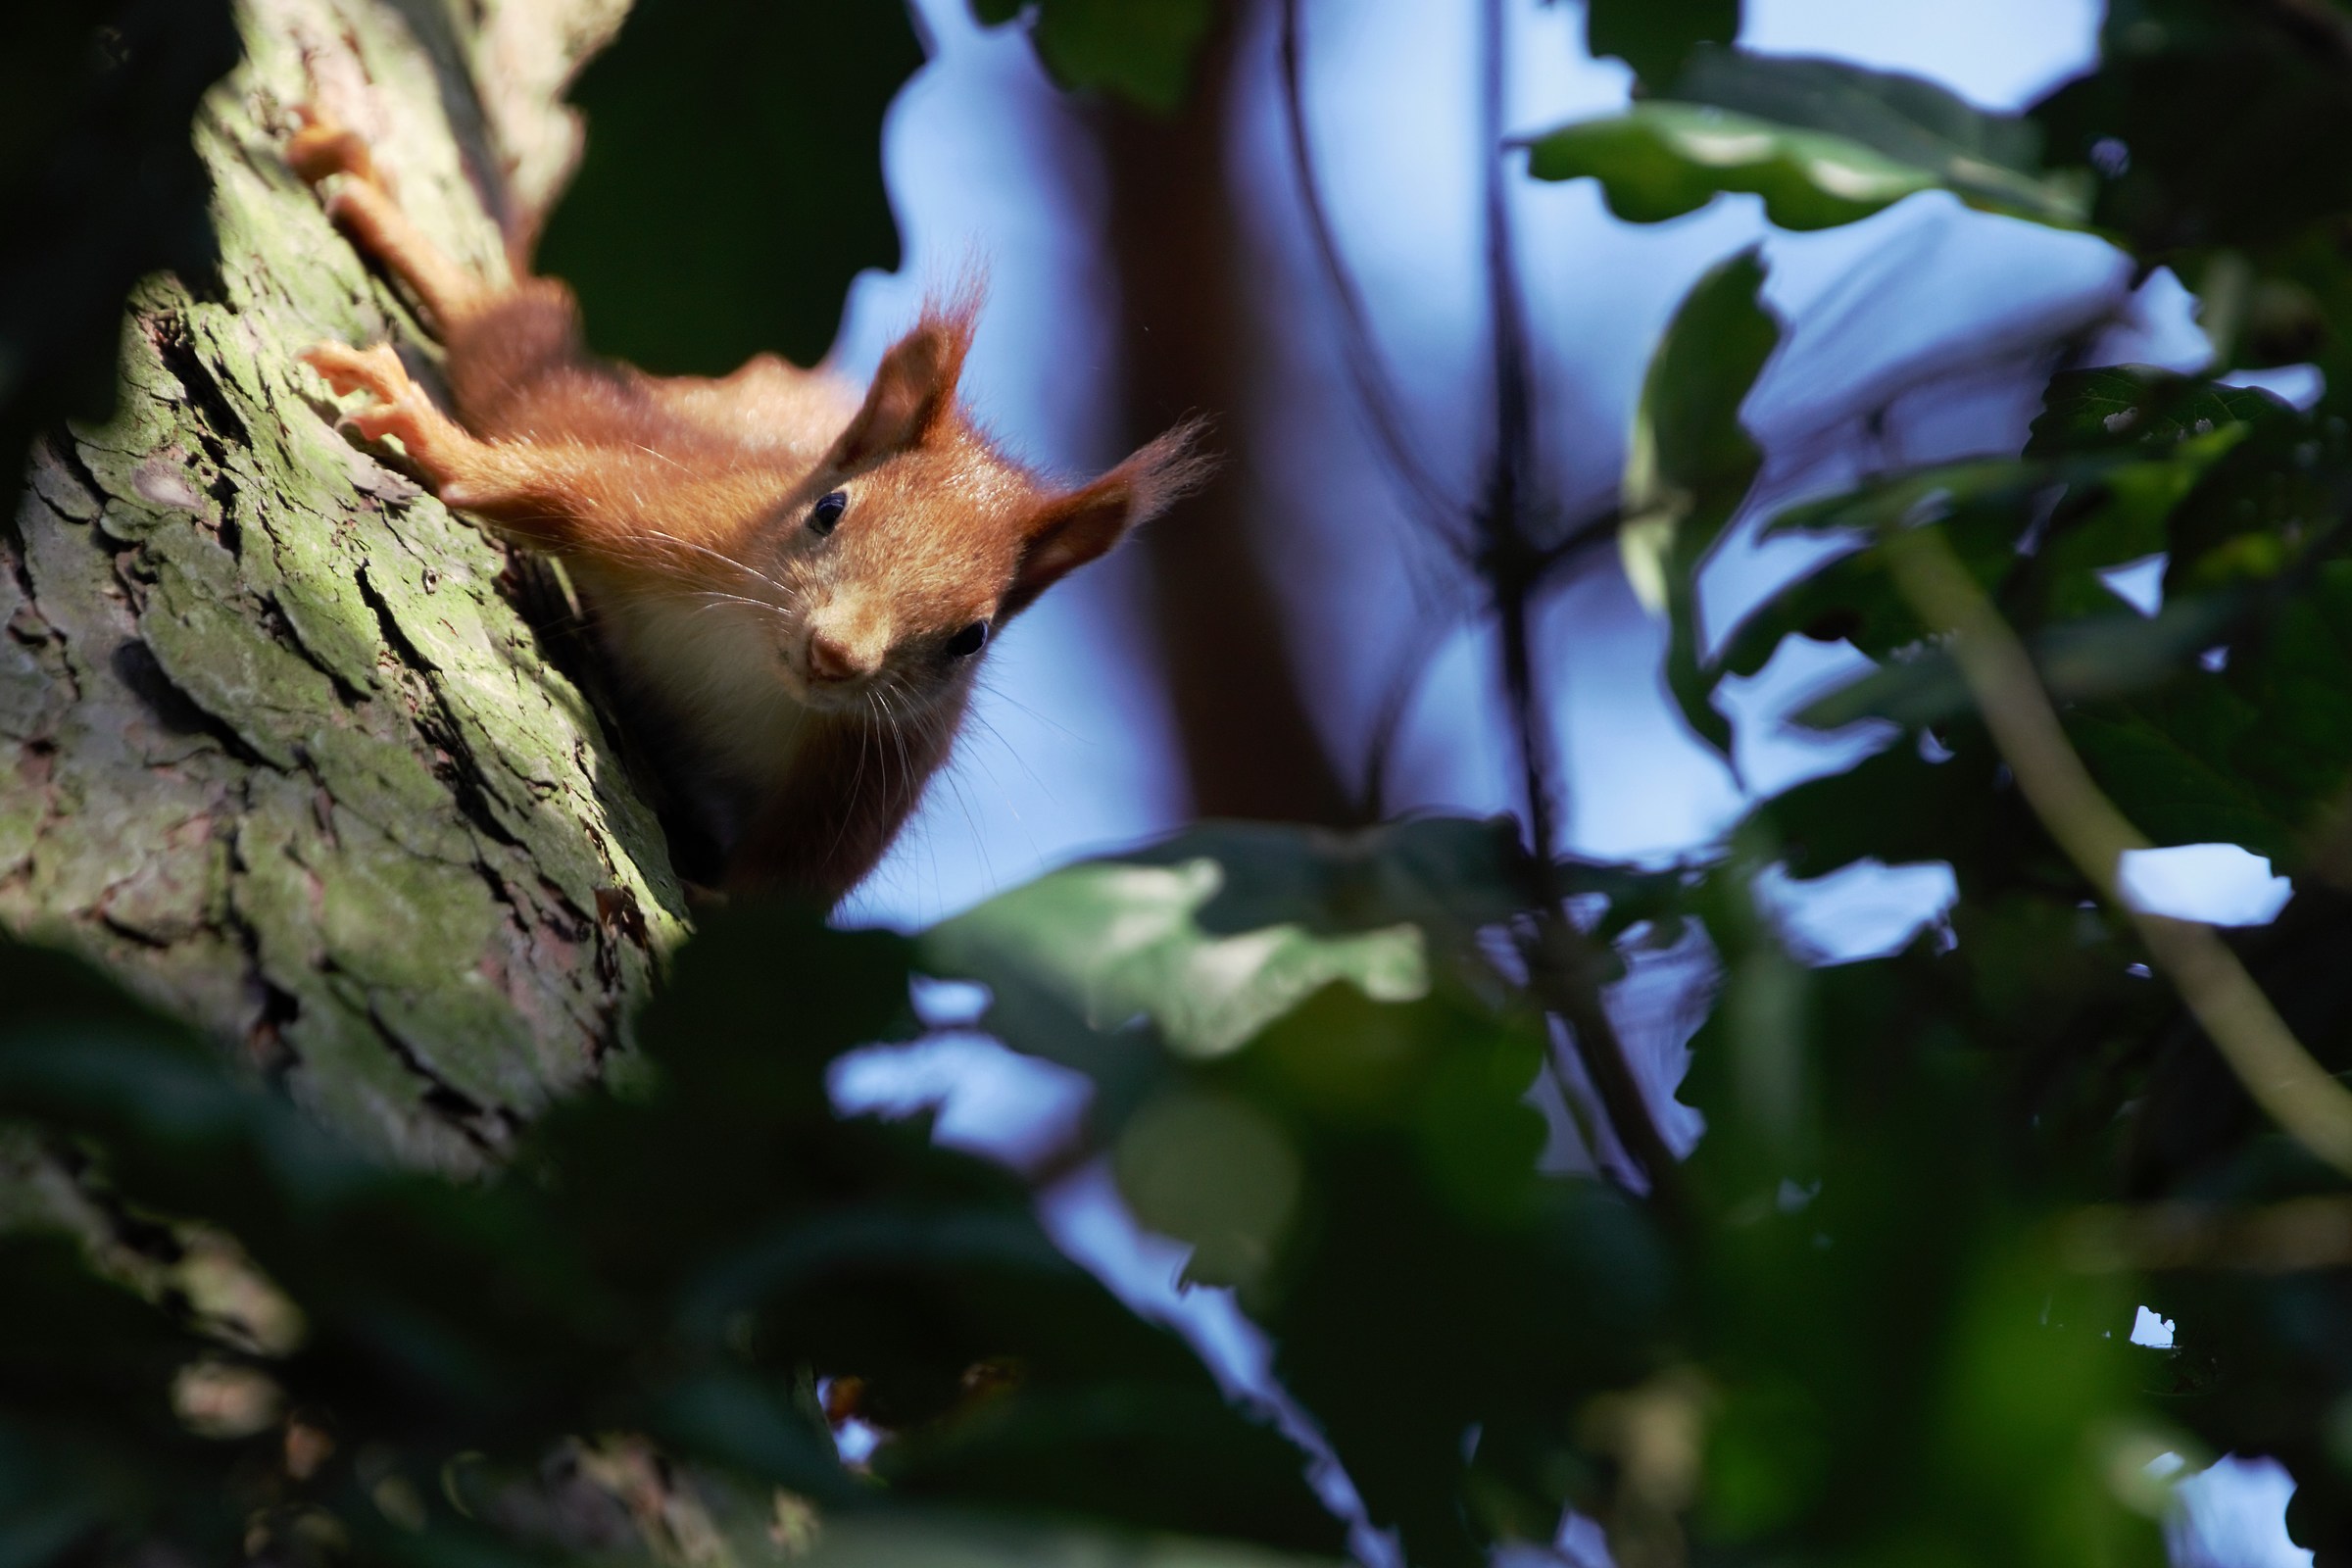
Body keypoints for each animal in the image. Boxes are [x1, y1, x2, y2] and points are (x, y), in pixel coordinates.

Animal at [285, 109, 1205, 908]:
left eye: (971, 638)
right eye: (828, 509)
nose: (836, 655)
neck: (753, 662)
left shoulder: (872, 771)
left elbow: (787, 890)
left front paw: (704, 902)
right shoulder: (683, 513)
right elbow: (548, 490)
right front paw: (438, 441)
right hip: (562, 376)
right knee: (499, 319)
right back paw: (377, 203)